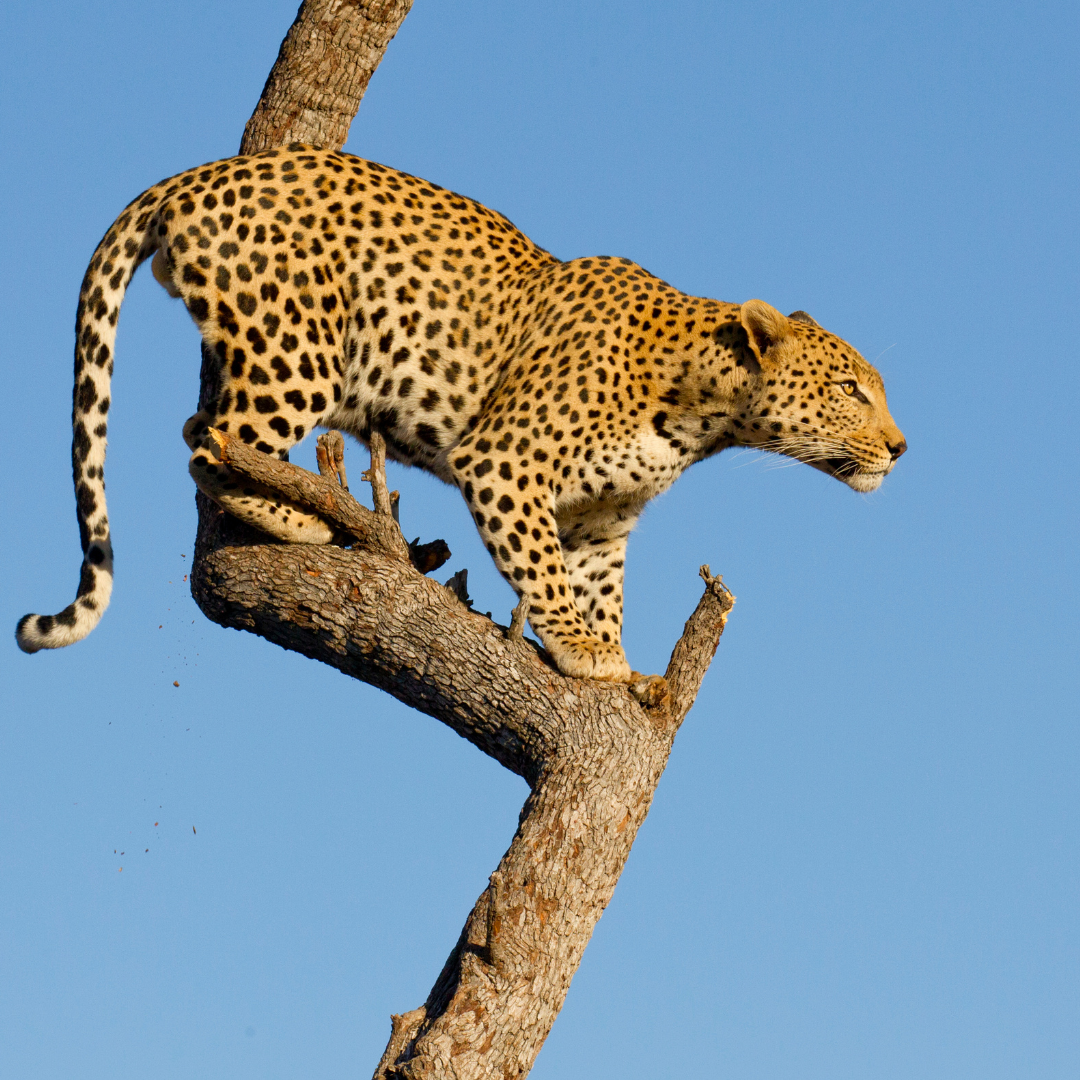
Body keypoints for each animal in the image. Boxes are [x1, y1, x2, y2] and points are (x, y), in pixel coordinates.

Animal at [16, 144, 906, 679]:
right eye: (851, 389)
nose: (901, 448)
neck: (705, 415)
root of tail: (195, 175)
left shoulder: (604, 520)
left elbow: (597, 585)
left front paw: (617, 662)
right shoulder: (507, 464)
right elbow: (542, 571)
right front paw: (582, 648)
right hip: (299, 353)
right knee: (210, 442)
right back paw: (304, 517)